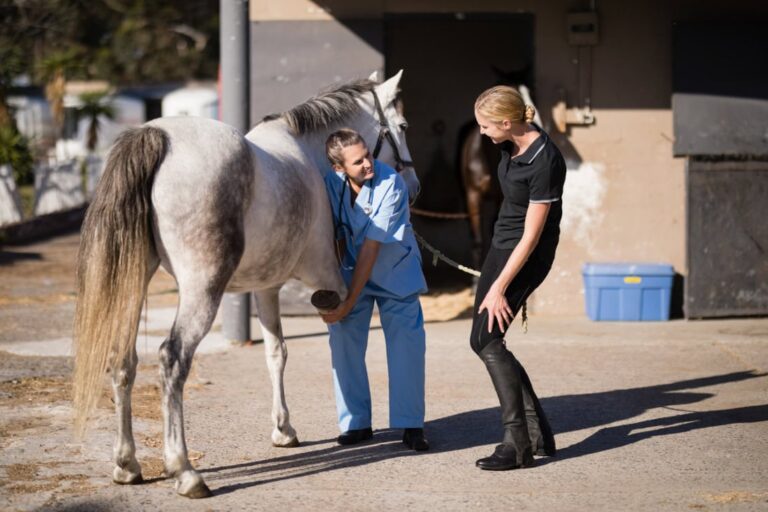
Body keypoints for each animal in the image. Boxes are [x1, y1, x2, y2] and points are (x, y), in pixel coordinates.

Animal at [72, 70, 418, 499]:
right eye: (402, 125)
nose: (413, 185)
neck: (306, 155)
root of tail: (156, 136)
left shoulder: (266, 289)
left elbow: (276, 353)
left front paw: (284, 429)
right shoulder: (329, 282)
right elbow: (345, 347)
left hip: (135, 284)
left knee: (122, 360)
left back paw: (126, 464)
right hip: (202, 291)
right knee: (172, 359)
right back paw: (185, 471)